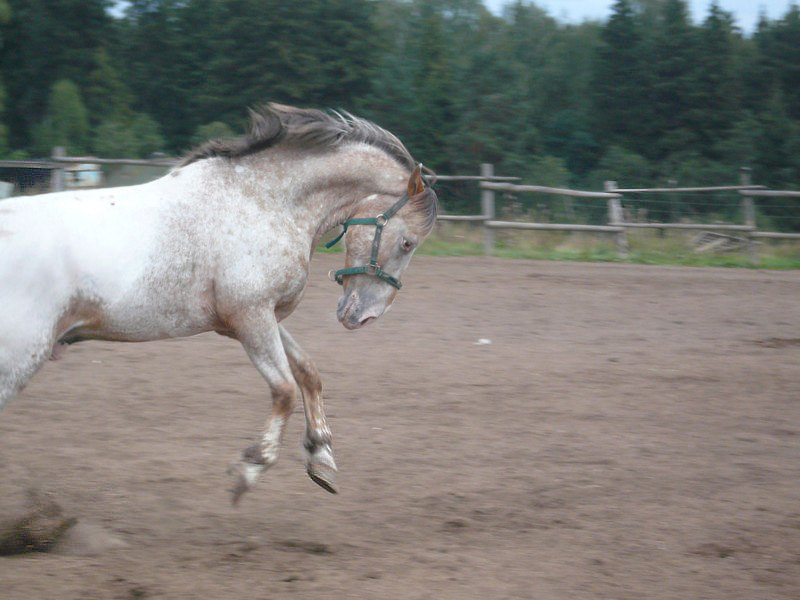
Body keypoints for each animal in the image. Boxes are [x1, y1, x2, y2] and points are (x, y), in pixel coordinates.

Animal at [0, 103, 438, 502]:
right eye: (407, 242)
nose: (363, 316)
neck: (266, 201)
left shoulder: (257, 317)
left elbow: (308, 373)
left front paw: (322, 459)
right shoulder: (250, 317)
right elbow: (284, 389)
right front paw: (251, 468)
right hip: (20, 357)